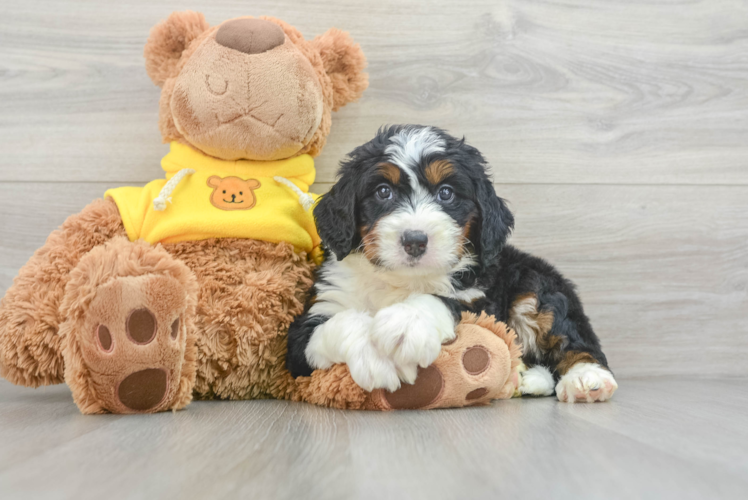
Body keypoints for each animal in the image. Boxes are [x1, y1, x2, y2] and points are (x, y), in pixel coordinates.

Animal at [286, 125, 620, 402]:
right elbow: (338, 324)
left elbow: (443, 300)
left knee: (572, 339)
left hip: (536, 287)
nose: (415, 240)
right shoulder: (308, 327)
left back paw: (587, 379)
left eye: (446, 193)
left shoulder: (481, 299)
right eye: (383, 191)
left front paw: (406, 323)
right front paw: (374, 357)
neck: (401, 280)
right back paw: (525, 379)